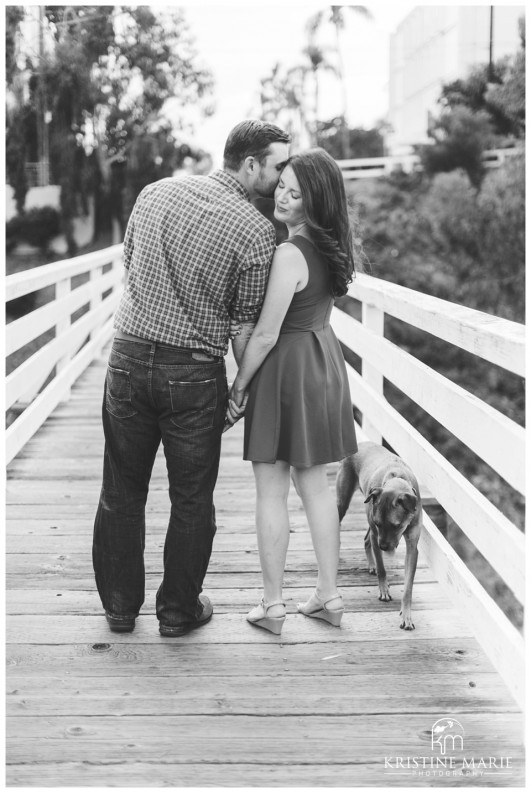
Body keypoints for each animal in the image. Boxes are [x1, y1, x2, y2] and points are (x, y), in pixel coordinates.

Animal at [338, 440, 422, 632]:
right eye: (379, 524)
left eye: (396, 525)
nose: (384, 547)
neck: (397, 479)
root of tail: (360, 443)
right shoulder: (376, 532)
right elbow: (383, 569)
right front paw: (383, 590)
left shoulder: (412, 547)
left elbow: (408, 588)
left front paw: (406, 616)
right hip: (344, 502)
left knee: (366, 540)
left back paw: (371, 565)